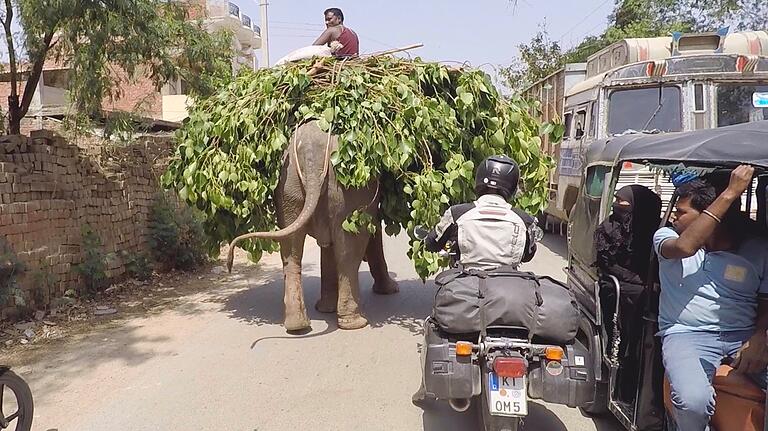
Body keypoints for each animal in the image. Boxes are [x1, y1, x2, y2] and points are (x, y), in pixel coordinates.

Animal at [226, 120, 396, 332]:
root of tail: (310, 152)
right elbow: (370, 233)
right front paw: (391, 290)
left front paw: (325, 310)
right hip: (348, 187)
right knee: (349, 251)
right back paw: (356, 323)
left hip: (287, 184)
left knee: (292, 249)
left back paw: (297, 325)